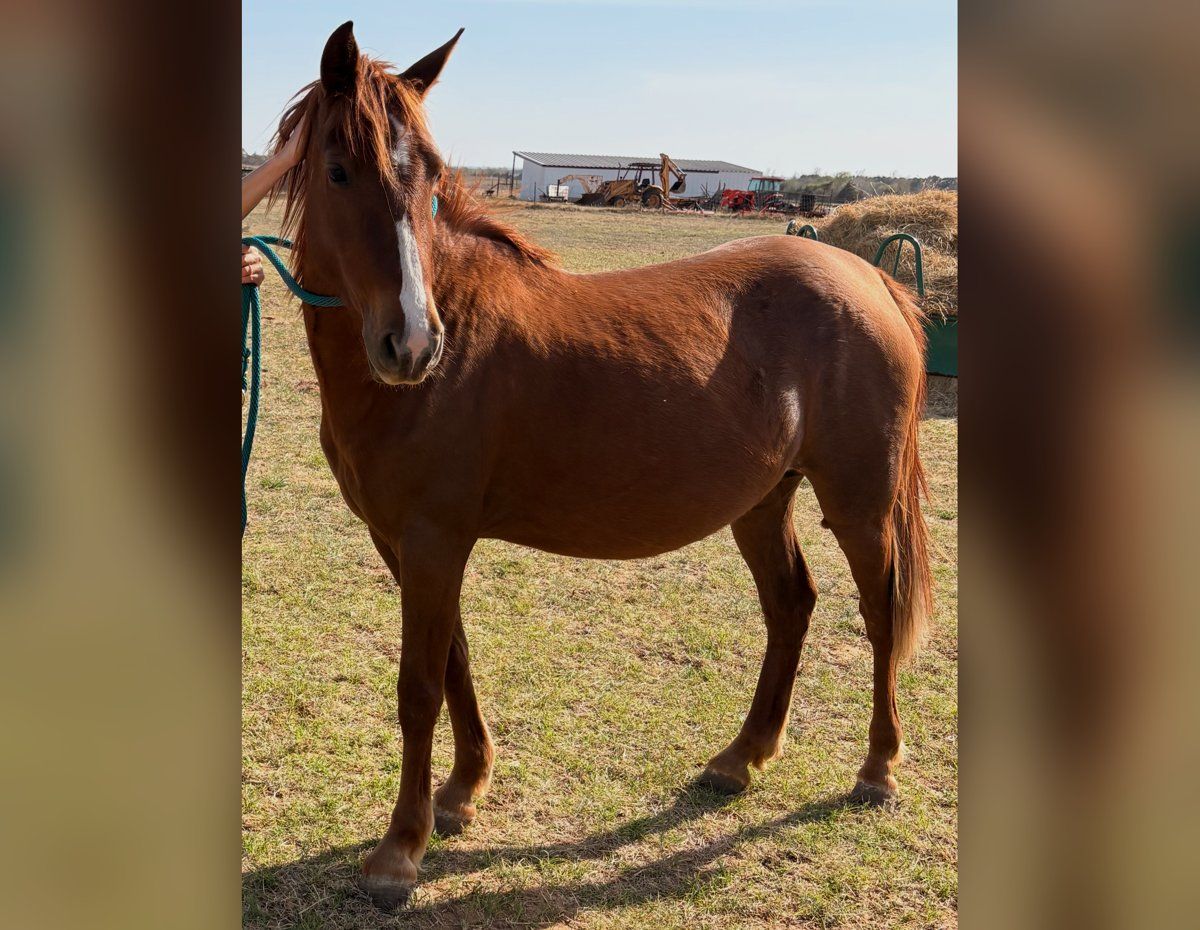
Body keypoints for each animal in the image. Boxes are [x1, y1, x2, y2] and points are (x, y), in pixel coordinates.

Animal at [268, 21, 933, 910]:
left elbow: (419, 688)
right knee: (791, 605)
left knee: (879, 614)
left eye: (431, 175)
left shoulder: (434, 540)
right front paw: (463, 791)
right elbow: (455, 662)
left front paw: (399, 850)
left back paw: (878, 770)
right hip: (763, 502)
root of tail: (870, 277)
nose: (410, 343)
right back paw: (741, 759)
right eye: (339, 169)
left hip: (858, 502)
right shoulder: (408, 542)